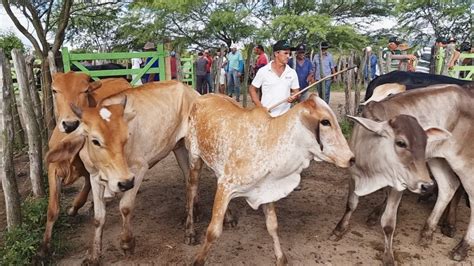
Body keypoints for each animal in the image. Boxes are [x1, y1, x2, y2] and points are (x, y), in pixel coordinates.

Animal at [38, 72, 131, 258]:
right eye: (54, 90)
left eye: (86, 90)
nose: (70, 124)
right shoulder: (53, 169)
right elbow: (52, 209)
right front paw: (44, 248)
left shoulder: (91, 171)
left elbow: (82, 196)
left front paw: (74, 208)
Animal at [46, 81, 198, 264]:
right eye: (95, 141)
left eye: (126, 138)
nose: (124, 182)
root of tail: (188, 88)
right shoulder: (94, 177)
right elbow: (98, 217)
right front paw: (94, 255)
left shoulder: (138, 170)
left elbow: (125, 207)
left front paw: (127, 243)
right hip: (178, 147)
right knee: (187, 180)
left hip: (193, 148)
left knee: (193, 183)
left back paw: (191, 231)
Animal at [186, 93, 356, 264]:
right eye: (325, 122)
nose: (351, 158)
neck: (269, 142)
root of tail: (203, 96)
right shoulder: (227, 185)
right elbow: (213, 231)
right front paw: (198, 260)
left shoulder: (265, 189)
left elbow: (272, 225)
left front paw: (280, 258)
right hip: (194, 159)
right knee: (192, 189)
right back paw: (190, 231)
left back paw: (228, 218)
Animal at [332, 84, 472, 264]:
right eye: (401, 143)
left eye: (425, 143)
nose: (426, 186)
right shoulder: (354, 176)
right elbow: (351, 204)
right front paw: (339, 229)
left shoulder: (399, 186)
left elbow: (388, 222)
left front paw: (388, 257)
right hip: (437, 160)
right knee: (448, 187)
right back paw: (427, 232)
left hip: (465, 164)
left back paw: (462, 247)